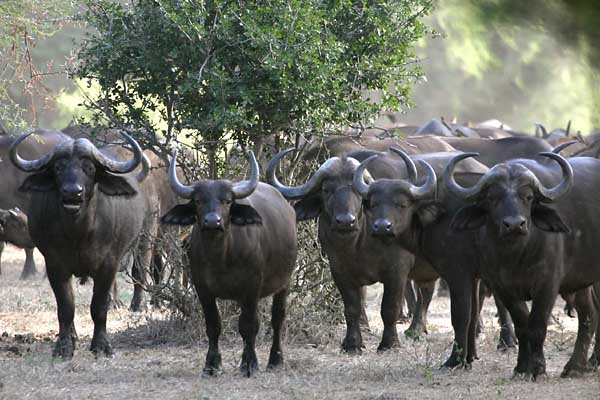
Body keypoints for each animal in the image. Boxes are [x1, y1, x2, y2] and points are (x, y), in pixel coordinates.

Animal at [10, 130, 151, 356]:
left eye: (90, 168)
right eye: (58, 167)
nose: (72, 192)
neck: (79, 232)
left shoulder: (108, 265)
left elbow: (99, 306)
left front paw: (101, 345)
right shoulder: (54, 265)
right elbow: (66, 307)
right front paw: (64, 346)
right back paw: (73, 336)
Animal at [162, 151, 298, 378]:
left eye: (227, 201)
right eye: (198, 200)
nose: (212, 221)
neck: (221, 258)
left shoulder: (251, 287)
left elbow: (249, 325)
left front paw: (249, 364)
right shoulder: (202, 288)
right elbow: (213, 325)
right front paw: (211, 365)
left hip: (284, 282)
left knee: (277, 318)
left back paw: (275, 359)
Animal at [442, 152, 600, 378]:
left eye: (528, 197)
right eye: (492, 197)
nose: (515, 225)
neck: (517, 256)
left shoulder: (547, 285)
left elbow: (537, 325)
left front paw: (538, 369)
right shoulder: (502, 287)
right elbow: (522, 324)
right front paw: (522, 367)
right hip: (580, 281)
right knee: (589, 315)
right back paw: (577, 366)